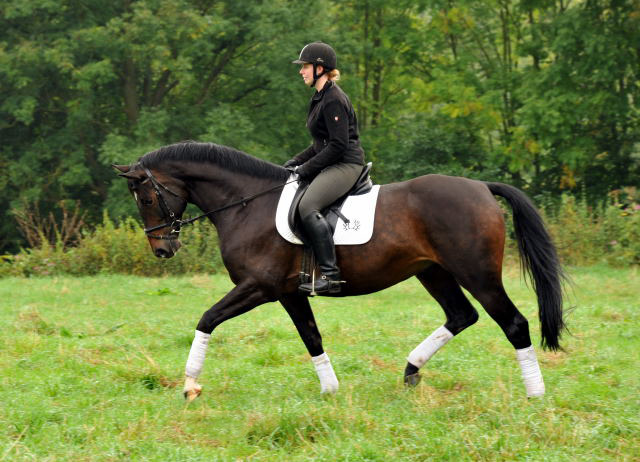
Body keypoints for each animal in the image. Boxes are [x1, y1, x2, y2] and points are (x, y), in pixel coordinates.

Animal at [115, 140, 564, 400]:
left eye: (147, 199)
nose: (163, 249)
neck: (246, 203)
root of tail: (480, 187)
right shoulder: (288, 293)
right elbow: (311, 336)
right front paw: (330, 389)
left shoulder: (258, 286)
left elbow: (207, 318)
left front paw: (190, 384)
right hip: (433, 272)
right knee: (461, 315)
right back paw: (410, 372)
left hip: (478, 275)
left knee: (513, 322)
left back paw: (536, 394)